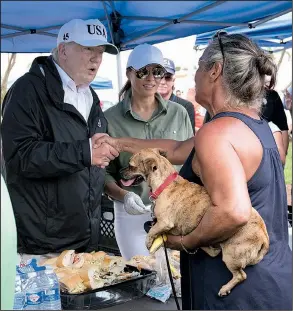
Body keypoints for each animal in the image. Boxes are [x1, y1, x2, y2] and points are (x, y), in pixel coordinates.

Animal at [120, 149, 268, 298]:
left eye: (131, 166)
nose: (120, 172)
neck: (165, 183)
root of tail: (264, 237)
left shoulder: (164, 222)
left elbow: (152, 231)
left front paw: (149, 241)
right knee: (214, 252)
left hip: (231, 255)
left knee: (241, 275)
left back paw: (225, 288)